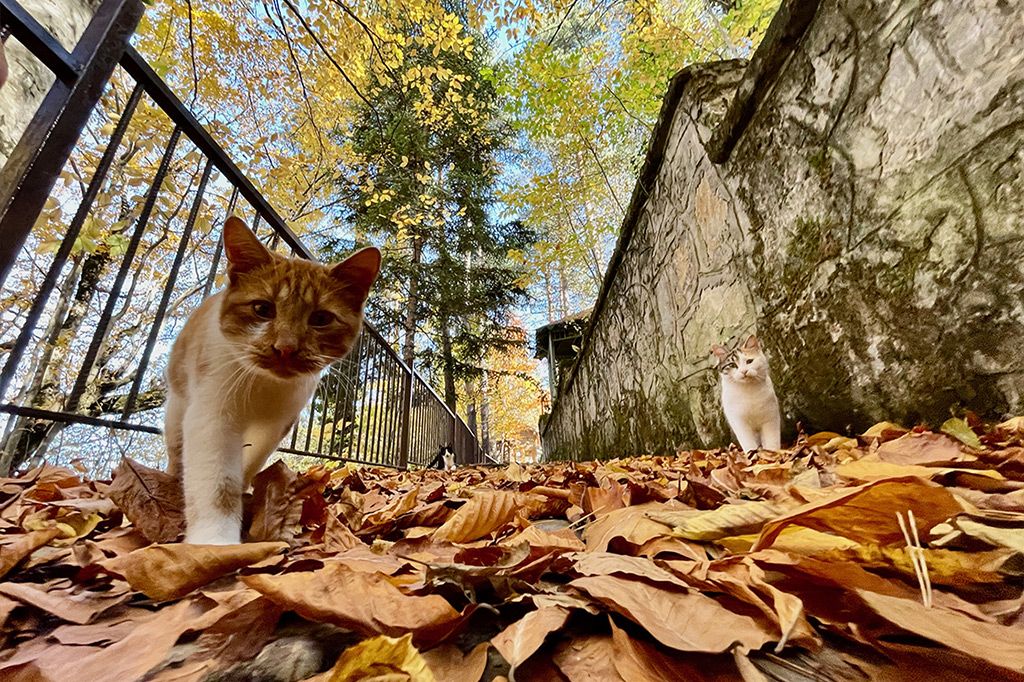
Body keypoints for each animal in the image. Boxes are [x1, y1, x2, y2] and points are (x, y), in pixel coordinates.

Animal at [166, 218, 380, 540]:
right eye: (262, 309)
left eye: (321, 319)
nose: (286, 348)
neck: (265, 386)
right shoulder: (211, 416)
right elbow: (217, 483)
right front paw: (214, 540)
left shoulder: (277, 424)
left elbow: (249, 462)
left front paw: (245, 490)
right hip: (177, 407)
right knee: (175, 452)